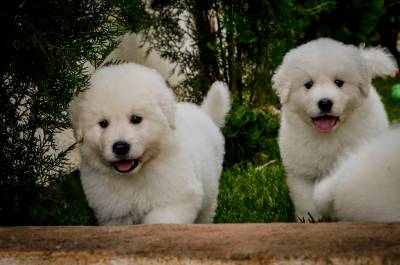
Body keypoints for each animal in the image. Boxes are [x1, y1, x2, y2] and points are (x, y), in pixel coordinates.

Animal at [69, 63, 231, 224]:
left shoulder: (175, 200)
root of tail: (204, 112)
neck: (135, 176)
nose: (120, 147)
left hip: (210, 187)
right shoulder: (115, 214)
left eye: (136, 119)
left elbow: (160, 221)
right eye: (103, 123)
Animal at [272, 37, 396, 221]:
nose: (325, 102)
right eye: (308, 84)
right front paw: (308, 220)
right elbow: (306, 202)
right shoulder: (302, 174)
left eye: (339, 83)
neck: (328, 136)